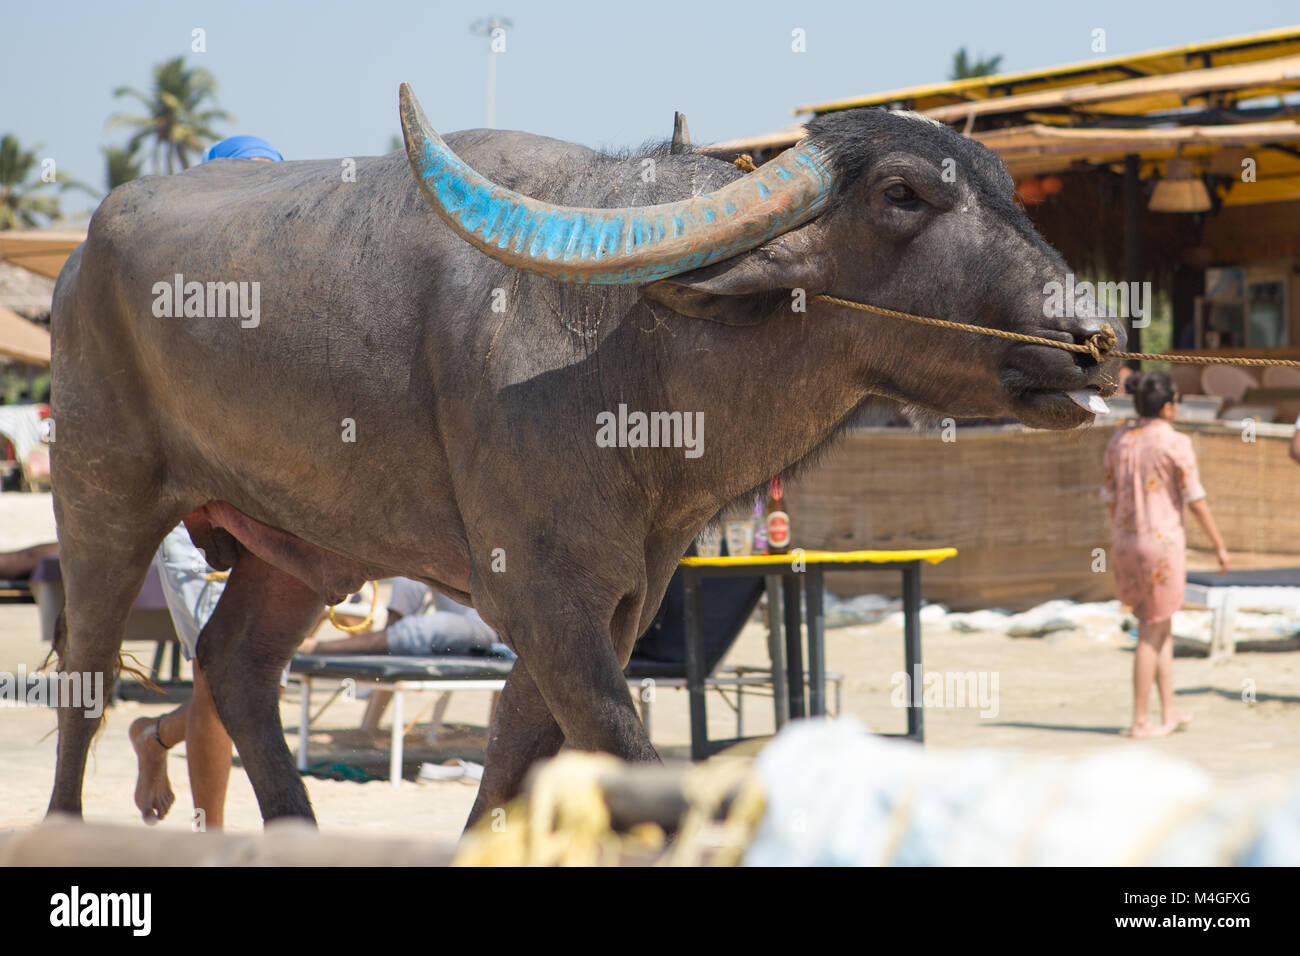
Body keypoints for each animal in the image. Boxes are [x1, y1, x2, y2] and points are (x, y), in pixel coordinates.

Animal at [48, 83, 1118, 832]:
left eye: (1010, 191)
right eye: (903, 193)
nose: (1095, 339)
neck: (633, 350)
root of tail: (79, 258)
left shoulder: (617, 601)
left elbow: (517, 761)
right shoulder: (539, 593)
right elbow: (628, 758)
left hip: (296, 548)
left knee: (234, 663)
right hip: (101, 503)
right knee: (87, 683)